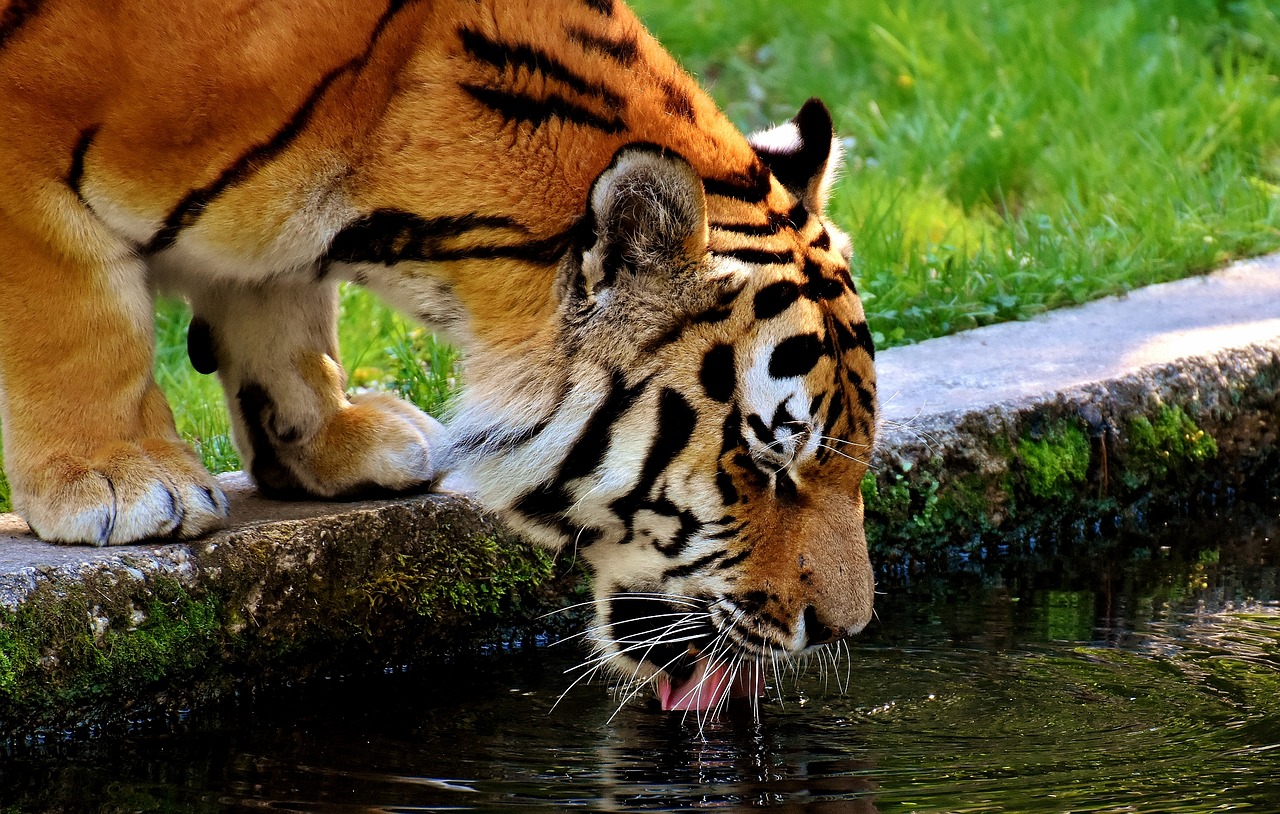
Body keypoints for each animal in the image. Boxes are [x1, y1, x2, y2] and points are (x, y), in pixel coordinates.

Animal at [0, 0, 880, 711]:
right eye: (763, 463)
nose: (846, 629)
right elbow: (85, 324)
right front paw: (119, 480)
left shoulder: (279, 259)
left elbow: (282, 306)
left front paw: (332, 439)